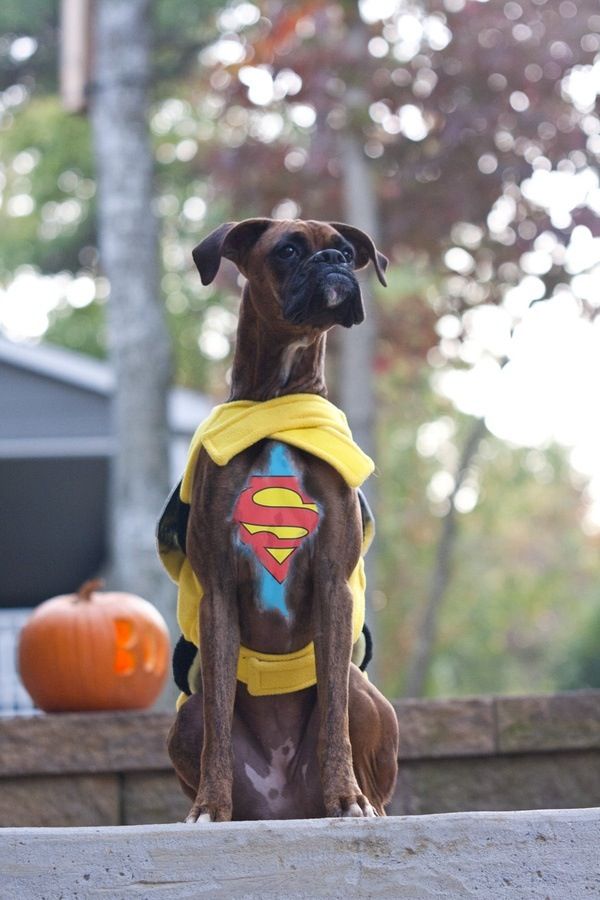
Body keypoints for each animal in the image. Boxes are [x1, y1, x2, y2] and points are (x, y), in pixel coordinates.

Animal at [165, 220, 398, 824]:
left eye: (346, 250)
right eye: (289, 249)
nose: (334, 259)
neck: (276, 404)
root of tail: (285, 804)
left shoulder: (334, 586)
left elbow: (335, 717)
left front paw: (346, 797)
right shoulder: (218, 594)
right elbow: (219, 721)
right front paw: (210, 806)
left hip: (366, 695)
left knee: (353, 720)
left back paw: (361, 803)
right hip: (184, 717)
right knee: (204, 716)